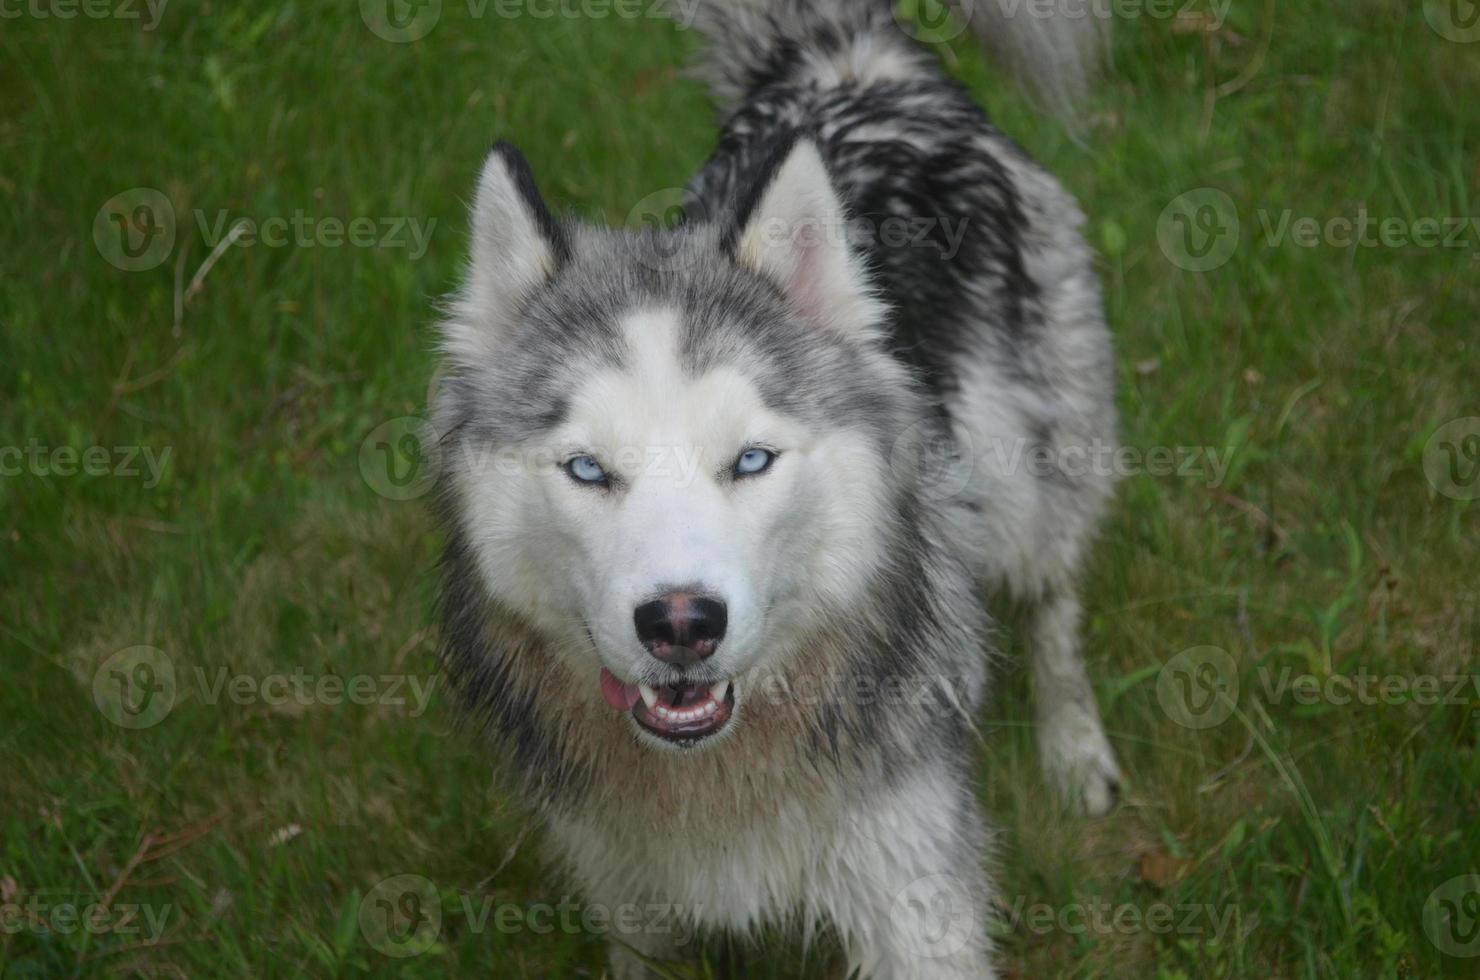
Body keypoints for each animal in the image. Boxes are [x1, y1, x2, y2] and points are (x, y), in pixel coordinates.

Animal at [432, 3, 1112, 977]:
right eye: (589, 469)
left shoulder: (916, 902)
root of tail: (848, 58)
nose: (681, 624)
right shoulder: (631, 907)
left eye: (750, 460)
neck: (720, 774)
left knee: (1052, 605)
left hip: (1030, 494)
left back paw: (1077, 754)